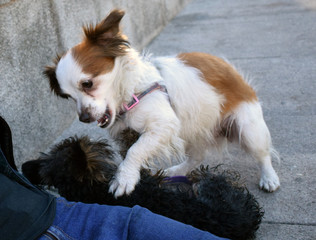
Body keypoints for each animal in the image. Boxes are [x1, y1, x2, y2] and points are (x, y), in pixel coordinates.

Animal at [43, 8, 278, 197]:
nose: (83, 118)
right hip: (192, 130)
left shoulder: (164, 124)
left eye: (87, 84)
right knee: (197, 157)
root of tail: (233, 71)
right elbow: (130, 149)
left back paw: (269, 177)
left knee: (263, 154)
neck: (132, 92)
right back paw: (176, 171)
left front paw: (124, 178)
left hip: (249, 129)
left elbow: (135, 150)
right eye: (68, 96)